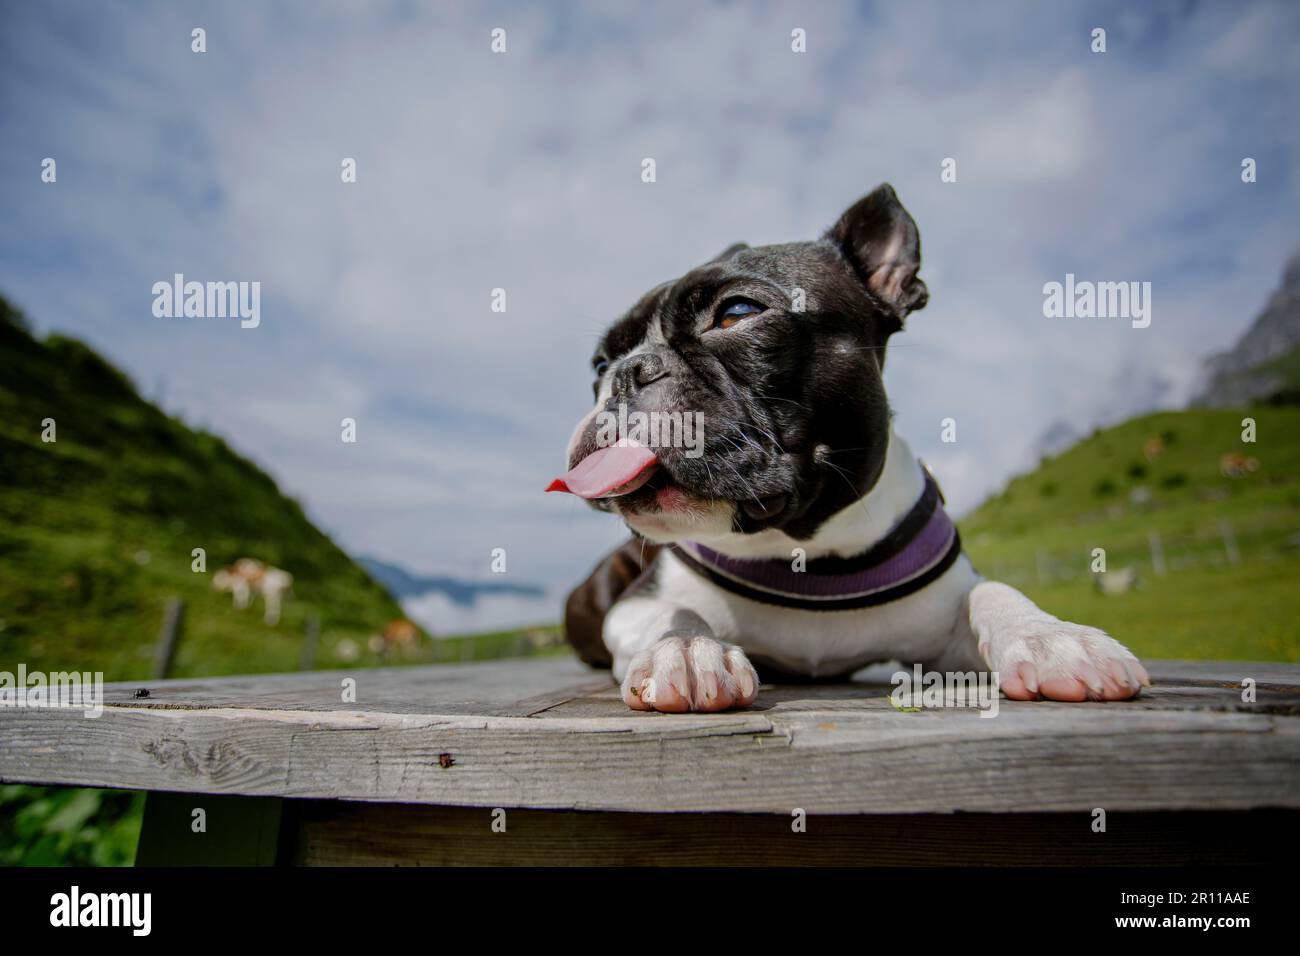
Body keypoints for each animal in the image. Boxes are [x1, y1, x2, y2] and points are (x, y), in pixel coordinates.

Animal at [548, 184, 1149, 712]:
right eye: (599, 364)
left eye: (737, 313)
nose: (626, 372)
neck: (806, 555)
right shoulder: (635, 605)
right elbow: (672, 613)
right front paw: (687, 651)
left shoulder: (946, 627)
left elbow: (992, 591)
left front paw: (1054, 638)